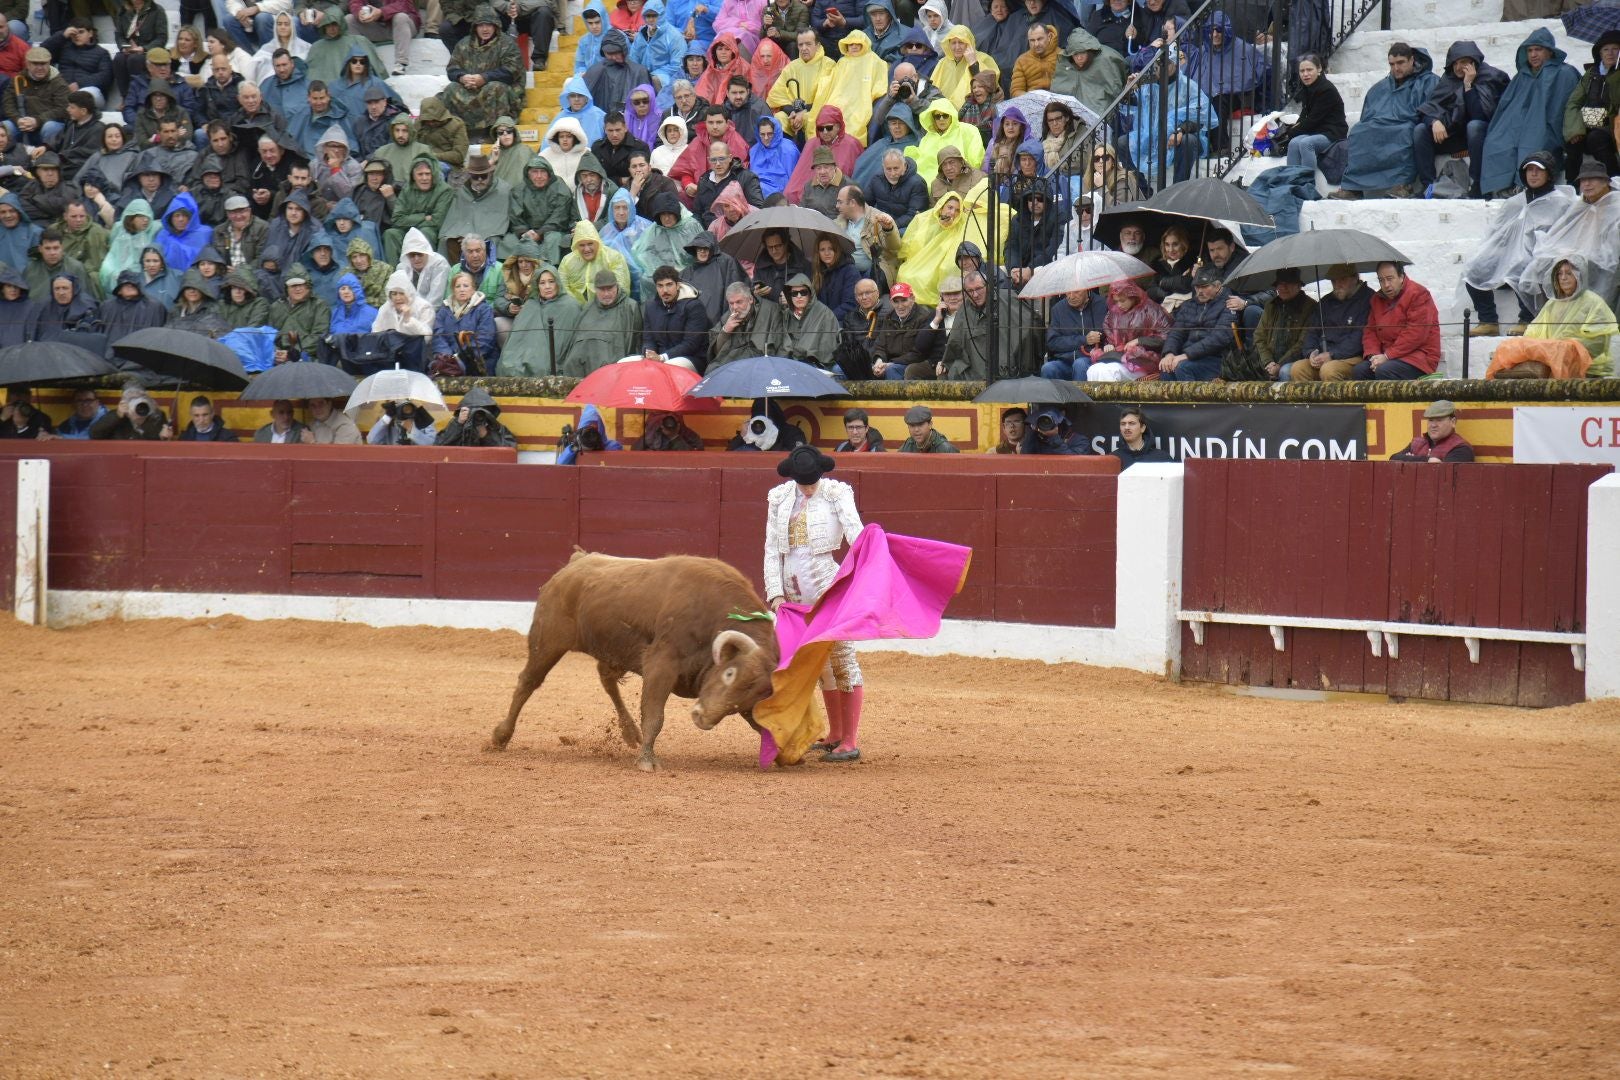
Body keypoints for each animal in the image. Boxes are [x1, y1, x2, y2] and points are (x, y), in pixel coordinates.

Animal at [489, 553, 780, 773]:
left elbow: (762, 723)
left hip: (611, 650)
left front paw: (781, 755)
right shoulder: (661, 663)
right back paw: (500, 737)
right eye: (729, 673)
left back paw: (629, 732)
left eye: (752, 694)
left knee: (606, 680)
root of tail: (577, 561)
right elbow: (654, 715)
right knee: (528, 682)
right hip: (547, 641)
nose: (702, 718)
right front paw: (647, 761)